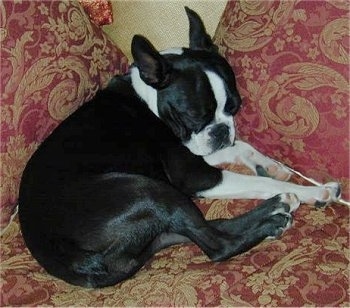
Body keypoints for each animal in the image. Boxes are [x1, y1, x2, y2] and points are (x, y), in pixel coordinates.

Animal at [17, 7, 340, 288]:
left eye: (234, 107)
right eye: (193, 115)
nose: (222, 130)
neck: (150, 99)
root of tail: (69, 262)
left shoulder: (197, 151)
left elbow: (243, 148)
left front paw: (272, 166)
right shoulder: (196, 174)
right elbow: (259, 181)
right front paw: (315, 191)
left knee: (201, 229)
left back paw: (276, 210)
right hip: (150, 191)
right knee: (217, 244)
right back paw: (276, 212)